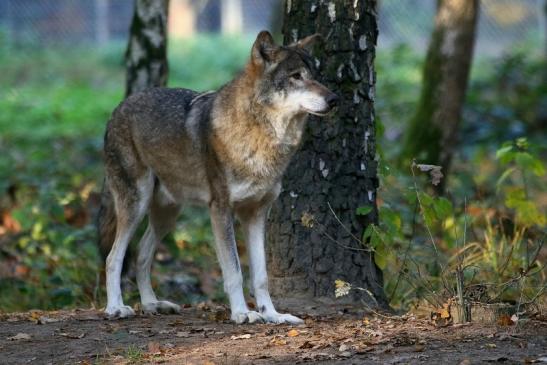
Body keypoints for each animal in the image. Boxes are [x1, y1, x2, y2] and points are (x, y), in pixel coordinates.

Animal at [98, 30, 338, 322]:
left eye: (315, 75)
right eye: (296, 76)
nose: (334, 99)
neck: (261, 136)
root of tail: (118, 108)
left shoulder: (256, 214)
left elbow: (261, 277)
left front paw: (273, 315)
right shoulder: (221, 209)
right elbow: (234, 270)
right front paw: (242, 313)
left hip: (167, 216)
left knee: (142, 256)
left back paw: (153, 304)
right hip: (136, 206)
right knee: (113, 258)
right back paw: (115, 308)